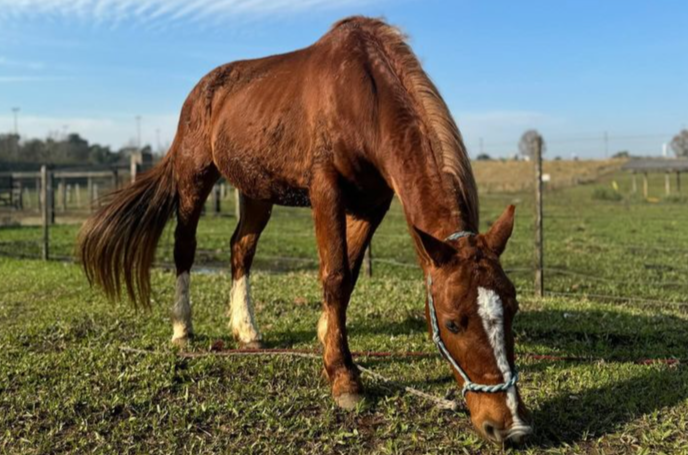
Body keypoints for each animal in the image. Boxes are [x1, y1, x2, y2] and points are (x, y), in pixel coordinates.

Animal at [77, 16, 531, 444]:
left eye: (512, 308)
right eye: (453, 323)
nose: (510, 426)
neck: (364, 95)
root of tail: (202, 89)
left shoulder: (372, 203)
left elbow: (347, 277)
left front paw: (329, 339)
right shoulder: (325, 189)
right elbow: (334, 274)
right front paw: (344, 377)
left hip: (255, 191)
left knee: (241, 248)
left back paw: (247, 331)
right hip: (194, 178)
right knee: (184, 246)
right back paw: (182, 328)